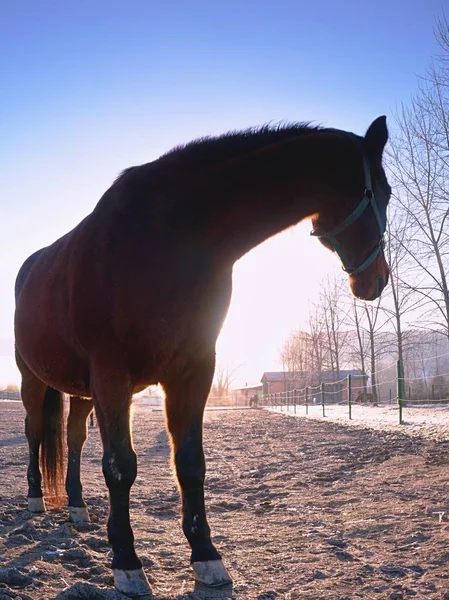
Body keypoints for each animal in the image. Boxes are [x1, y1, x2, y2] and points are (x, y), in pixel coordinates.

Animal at [14, 117, 388, 596]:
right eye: (383, 193)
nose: (376, 279)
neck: (166, 237)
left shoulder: (192, 371)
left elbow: (190, 464)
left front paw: (207, 557)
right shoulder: (113, 373)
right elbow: (120, 466)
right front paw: (126, 562)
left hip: (82, 392)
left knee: (75, 439)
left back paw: (77, 506)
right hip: (35, 381)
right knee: (35, 434)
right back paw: (35, 499)